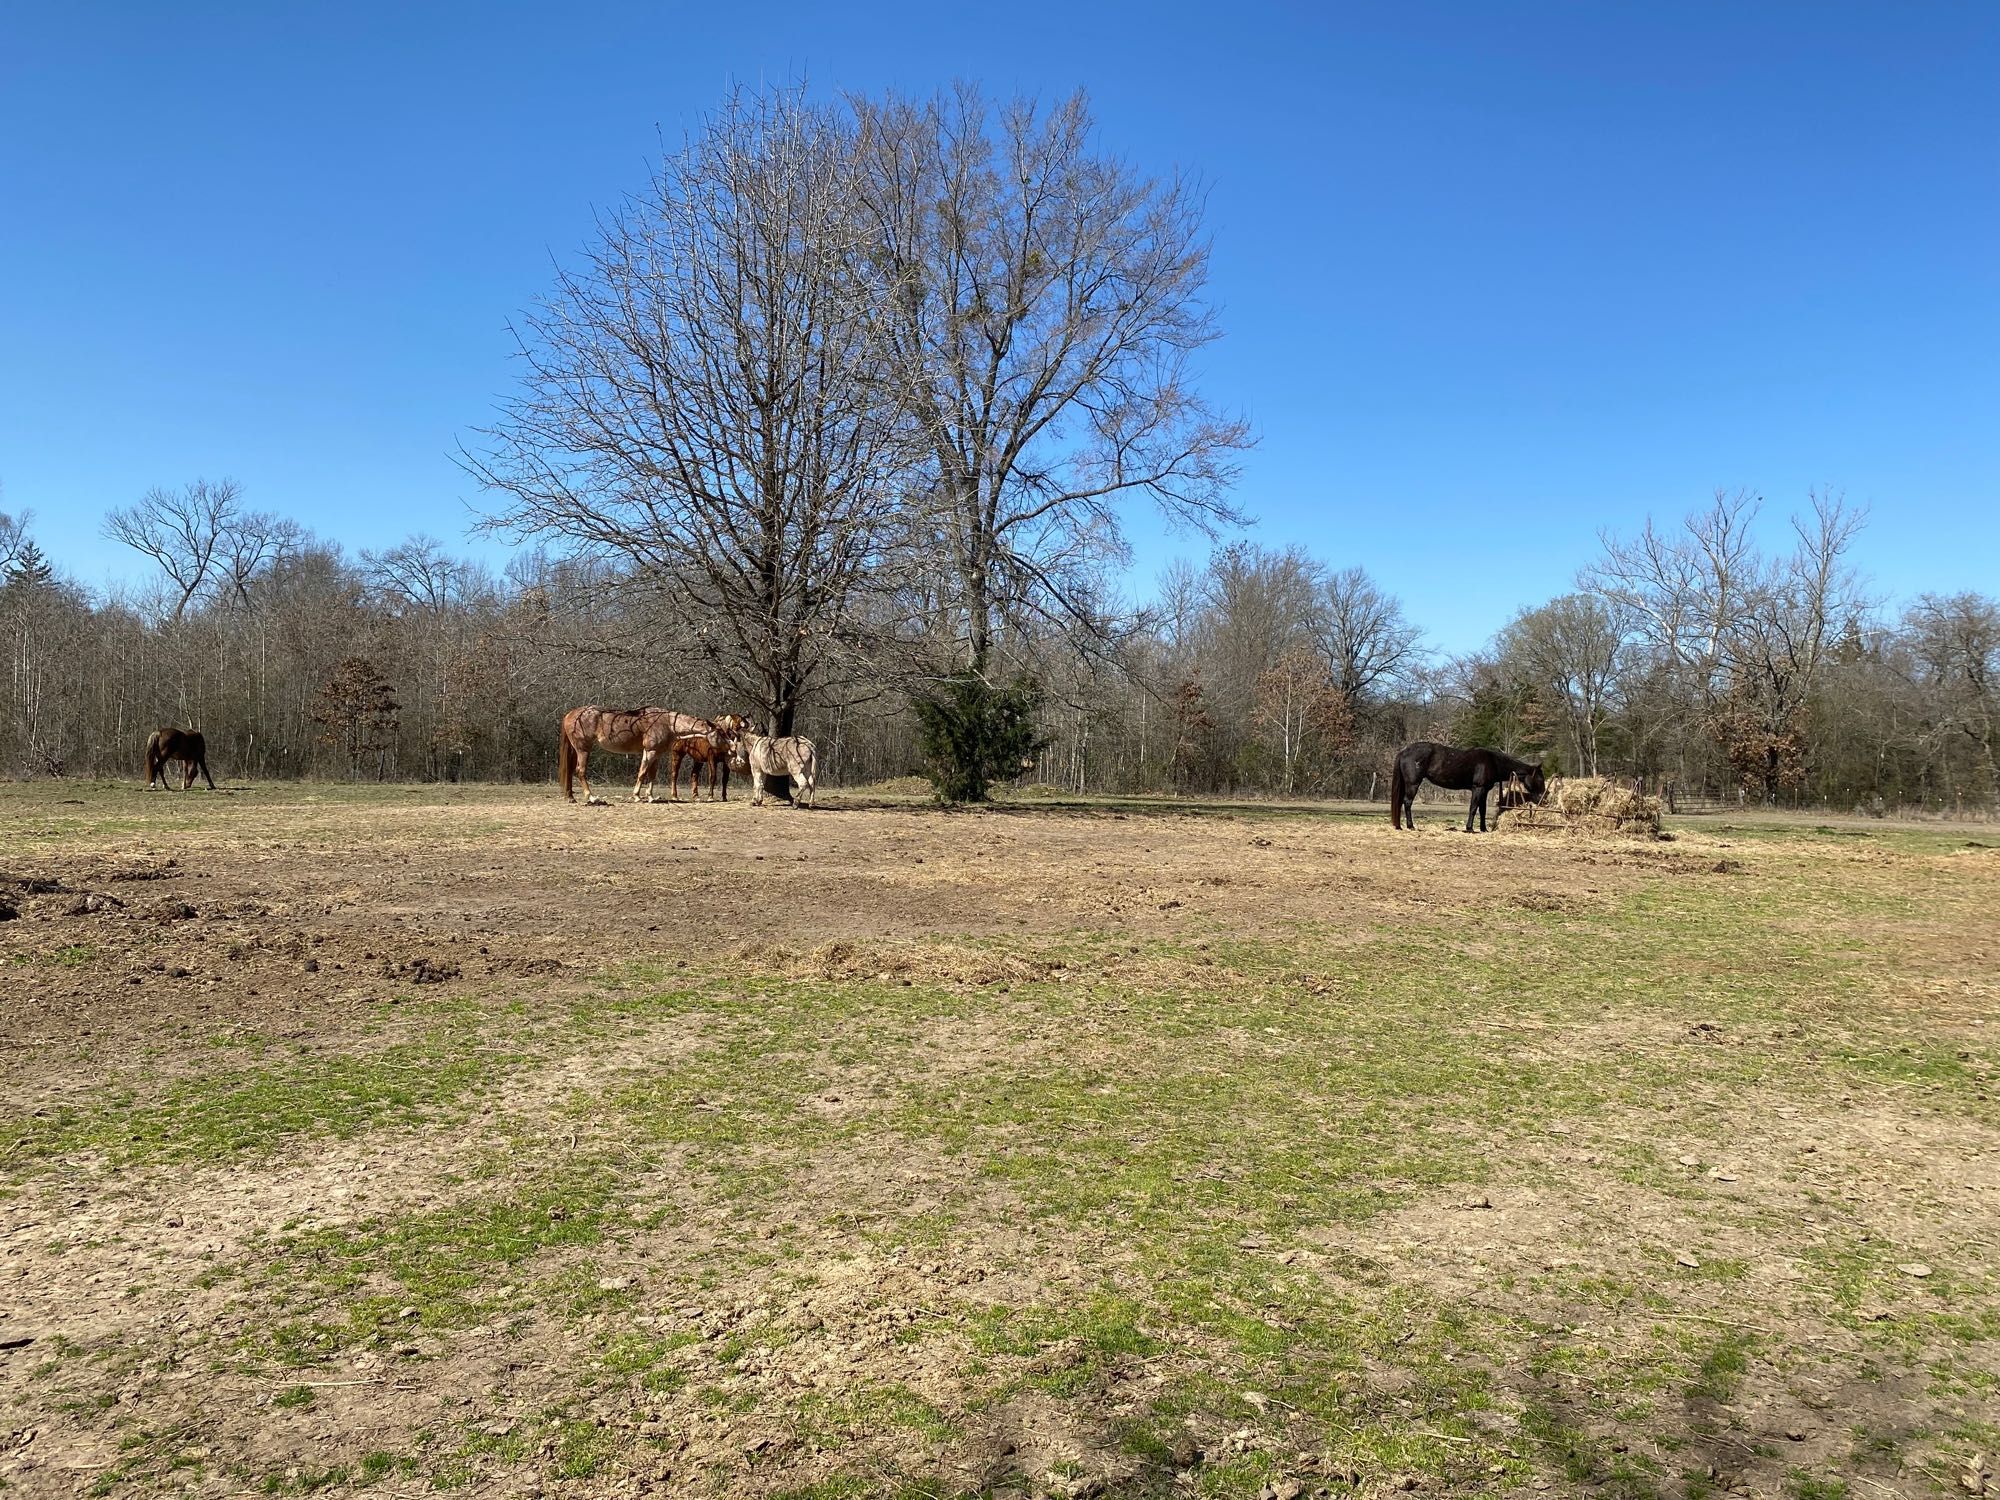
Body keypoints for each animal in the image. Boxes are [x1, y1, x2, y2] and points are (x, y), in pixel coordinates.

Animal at [560, 708, 716, 804]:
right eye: (718, 732)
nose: (720, 749)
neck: (667, 722)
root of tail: (570, 714)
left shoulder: (656, 754)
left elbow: (652, 775)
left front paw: (650, 797)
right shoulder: (650, 751)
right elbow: (642, 773)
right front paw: (637, 796)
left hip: (576, 750)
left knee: (570, 771)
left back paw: (571, 797)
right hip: (583, 750)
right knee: (580, 771)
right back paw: (592, 797)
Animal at [1392, 744, 1544, 836]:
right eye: (1540, 779)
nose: (1542, 799)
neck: (1492, 762)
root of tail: (1404, 752)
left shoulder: (1484, 791)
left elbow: (1482, 811)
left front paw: (1483, 829)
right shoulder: (1477, 789)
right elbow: (1473, 808)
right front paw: (1469, 828)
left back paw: (1400, 826)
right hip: (1413, 784)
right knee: (1407, 803)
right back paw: (1410, 826)